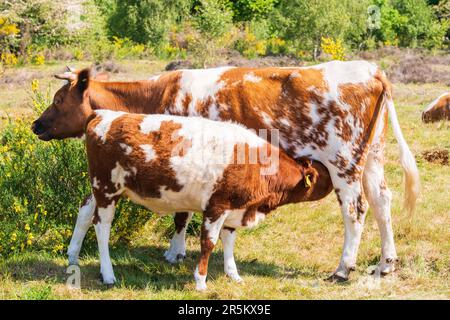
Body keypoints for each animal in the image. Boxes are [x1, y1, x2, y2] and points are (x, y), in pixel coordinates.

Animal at [83, 110, 330, 290]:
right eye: (323, 175)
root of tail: (104, 114)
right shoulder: (217, 207)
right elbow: (209, 243)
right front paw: (201, 281)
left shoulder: (235, 208)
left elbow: (229, 241)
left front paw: (233, 274)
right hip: (106, 188)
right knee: (102, 227)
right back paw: (108, 273)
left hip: (99, 190)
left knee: (84, 212)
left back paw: (75, 255)